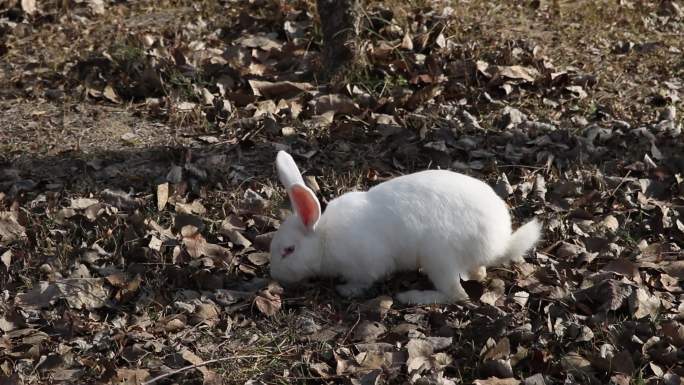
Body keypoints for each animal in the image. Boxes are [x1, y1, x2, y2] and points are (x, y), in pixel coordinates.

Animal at [268, 150, 540, 304]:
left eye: (289, 250)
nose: (275, 275)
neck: (323, 237)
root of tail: (499, 243)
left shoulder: (368, 266)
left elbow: (364, 282)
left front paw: (346, 290)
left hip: (438, 258)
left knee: (456, 296)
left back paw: (410, 297)